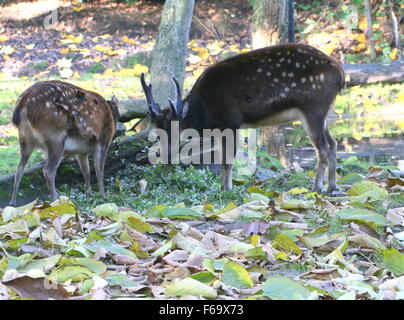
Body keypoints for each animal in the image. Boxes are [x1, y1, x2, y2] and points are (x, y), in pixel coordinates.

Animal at [141, 43, 344, 194]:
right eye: (157, 133)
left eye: (178, 129)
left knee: (323, 148)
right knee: (333, 143)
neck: (205, 112)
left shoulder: (232, 121)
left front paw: (227, 188)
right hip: (324, 112)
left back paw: (317, 188)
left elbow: (228, 159)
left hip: (313, 106)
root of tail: (341, 75)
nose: (165, 155)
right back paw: (332, 187)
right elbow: (222, 158)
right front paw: (222, 187)